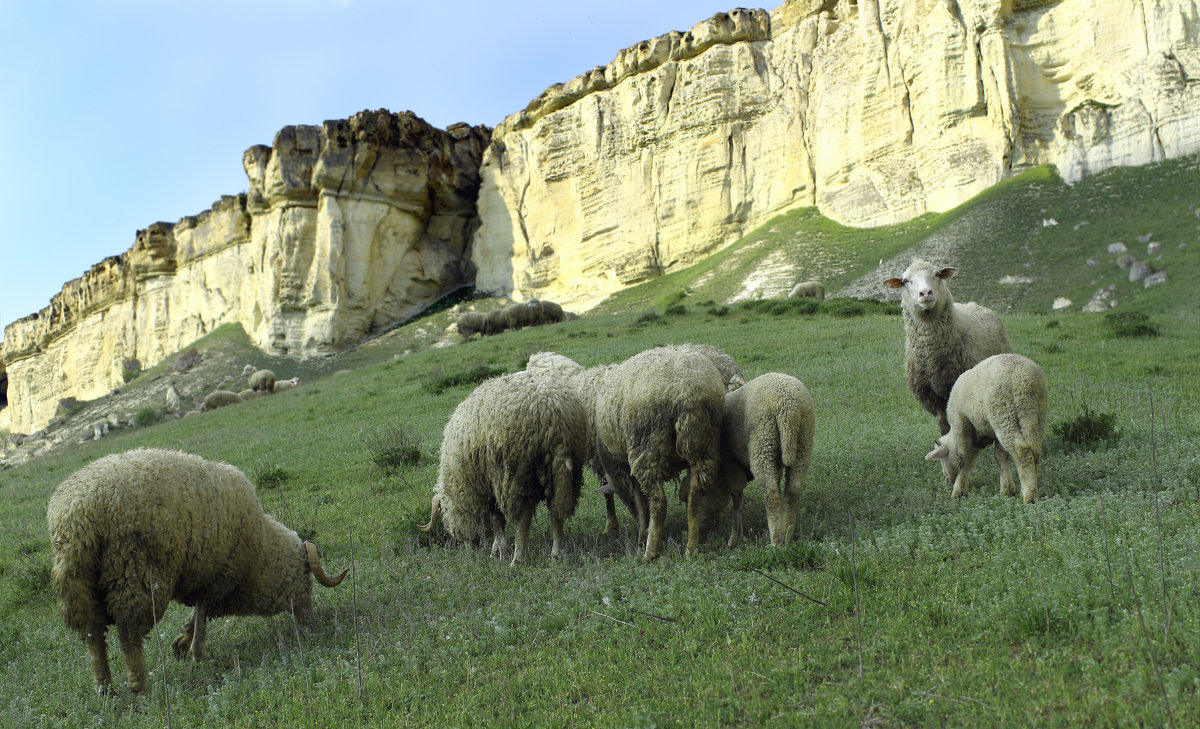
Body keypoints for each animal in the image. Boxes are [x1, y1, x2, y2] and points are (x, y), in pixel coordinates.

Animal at [46, 450, 345, 695]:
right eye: (306, 579)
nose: (308, 619)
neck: (261, 552)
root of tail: (75, 517)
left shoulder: (208, 577)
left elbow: (197, 614)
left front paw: (181, 643)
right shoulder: (219, 577)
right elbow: (202, 613)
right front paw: (196, 653)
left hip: (86, 583)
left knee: (93, 635)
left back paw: (105, 688)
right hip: (132, 570)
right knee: (128, 635)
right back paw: (139, 687)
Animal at [422, 369, 590, 563]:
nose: (469, 551)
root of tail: (552, 409)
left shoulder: (487, 488)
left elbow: (497, 521)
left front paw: (501, 551)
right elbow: (498, 522)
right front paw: (495, 550)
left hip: (516, 473)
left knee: (524, 517)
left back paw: (517, 559)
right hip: (565, 471)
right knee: (556, 511)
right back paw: (555, 555)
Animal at [686, 376, 816, 546]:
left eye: (703, 494)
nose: (702, 528)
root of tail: (789, 408)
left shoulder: (730, 462)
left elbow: (737, 496)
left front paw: (735, 536)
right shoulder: (776, 463)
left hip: (763, 444)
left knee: (771, 494)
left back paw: (776, 541)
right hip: (803, 443)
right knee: (793, 490)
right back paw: (787, 536)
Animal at [883, 258, 1012, 436]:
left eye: (937, 274)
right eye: (905, 281)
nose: (925, 293)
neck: (932, 355)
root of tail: (977, 305)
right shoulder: (932, 395)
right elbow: (945, 426)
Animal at [921, 352, 1046, 501]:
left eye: (942, 459)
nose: (947, 480)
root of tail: (1022, 378)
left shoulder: (961, 422)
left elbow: (964, 459)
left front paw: (958, 491)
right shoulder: (992, 431)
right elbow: (1000, 456)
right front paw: (1007, 489)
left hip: (1004, 414)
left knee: (1021, 450)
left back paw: (1029, 496)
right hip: (1033, 414)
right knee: (1034, 449)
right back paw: (1031, 488)